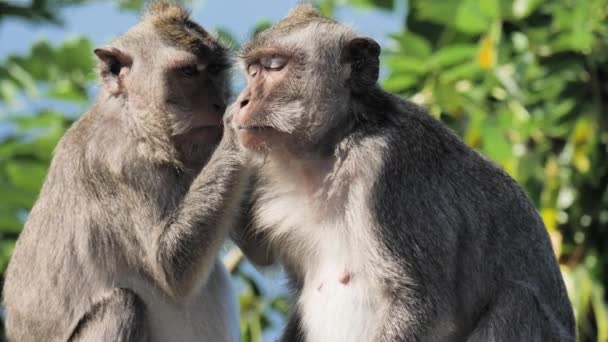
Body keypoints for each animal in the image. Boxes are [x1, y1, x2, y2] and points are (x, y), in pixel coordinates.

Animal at [2, 3, 245, 342]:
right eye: (187, 72)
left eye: (214, 69)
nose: (218, 103)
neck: (136, 121)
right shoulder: (122, 164)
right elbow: (169, 267)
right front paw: (242, 123)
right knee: (122, 304)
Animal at [228, 5, 576, 342]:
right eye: (252, 70)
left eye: (275, 65)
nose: (242, 101)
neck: (334, 147)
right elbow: (260, 252)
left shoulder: (392, 171)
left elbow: (422, 303)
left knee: (517, 301)